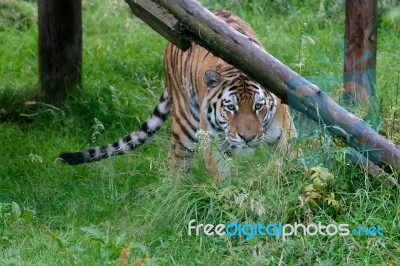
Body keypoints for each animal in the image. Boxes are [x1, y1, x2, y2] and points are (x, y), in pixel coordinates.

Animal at [60, 9, 296, 179]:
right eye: (230, 107)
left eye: (258, 106)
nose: (247, 138)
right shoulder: (212, 143)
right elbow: (223, 176)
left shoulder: (284, 133)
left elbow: (284, 162)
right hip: (185, 122)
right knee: (176, 159)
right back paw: (184, 191)